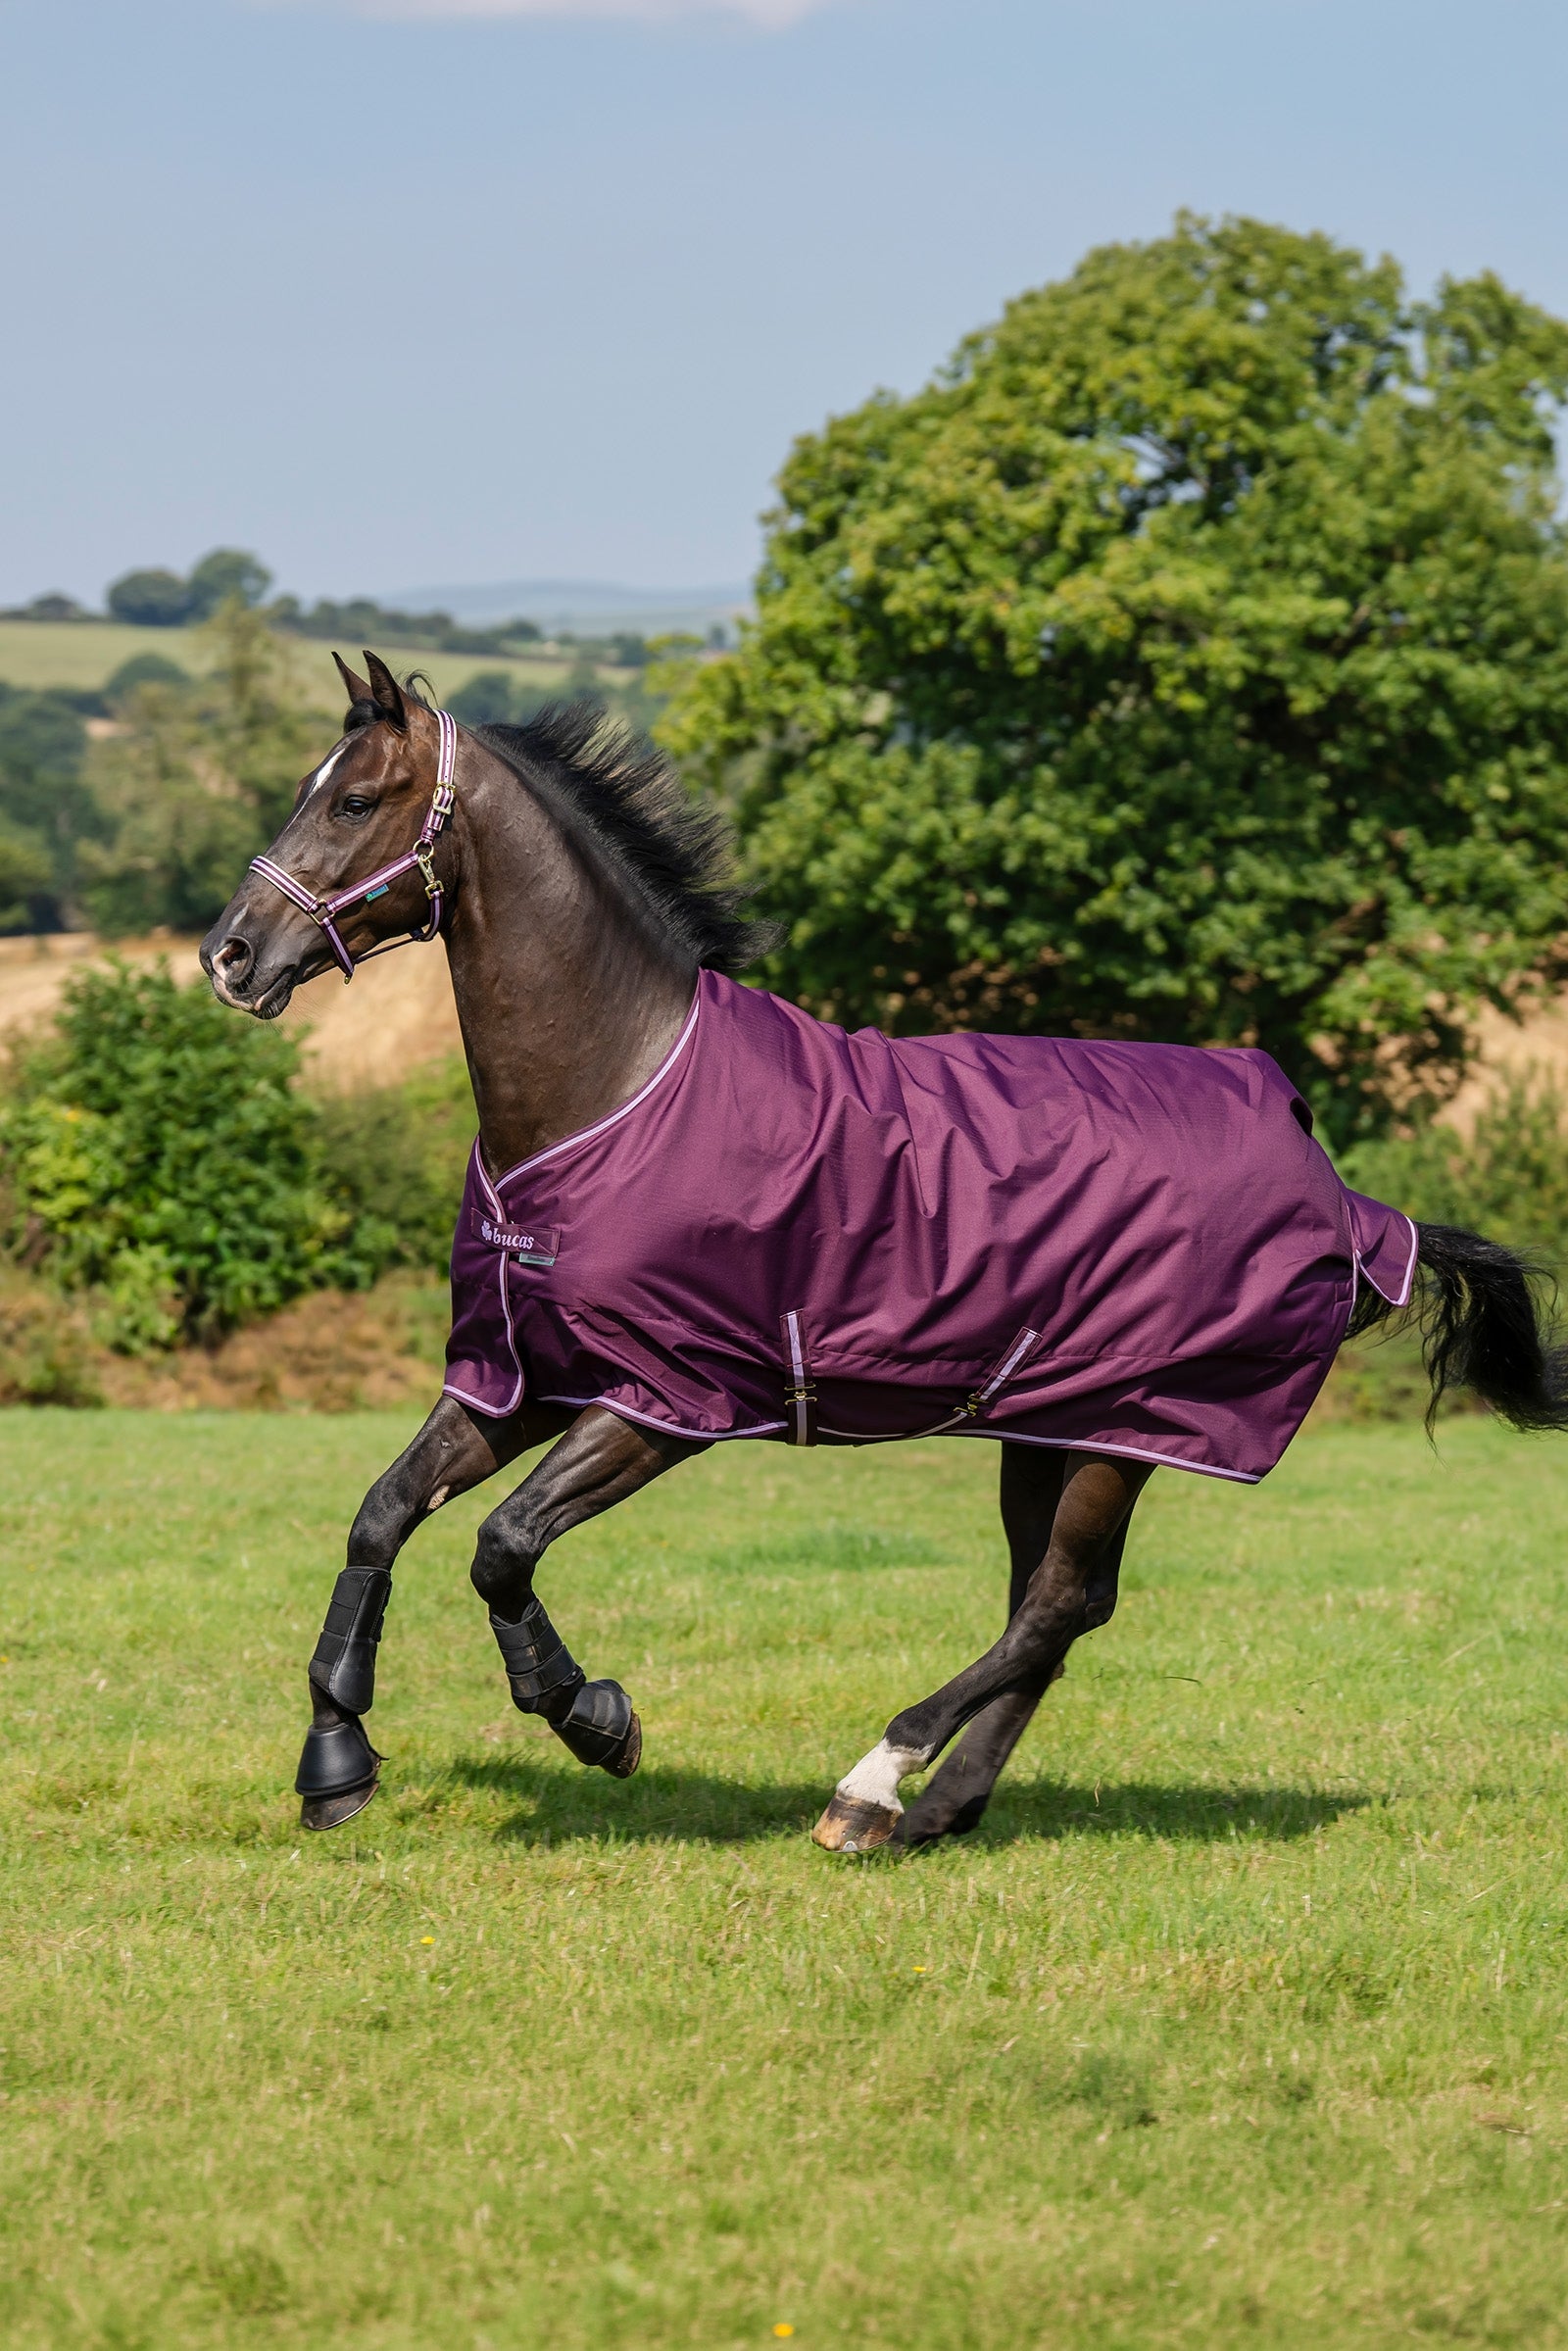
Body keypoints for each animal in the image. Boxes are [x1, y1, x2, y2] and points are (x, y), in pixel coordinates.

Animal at [200, 652, 1568, 1853]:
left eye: (355, 798)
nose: (231, 953)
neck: (615, 1088)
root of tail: (1342, 1196)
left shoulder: (667, 1400)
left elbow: (502, 1546)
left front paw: (595, 1719)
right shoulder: (518, 1378)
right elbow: (380, 1517)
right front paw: (335, 1766)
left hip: (1132, 1427)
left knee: (1054, 1605)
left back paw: (871, 1783)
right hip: (1047, 1423)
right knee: (1056, 1606)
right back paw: (935, 1809)